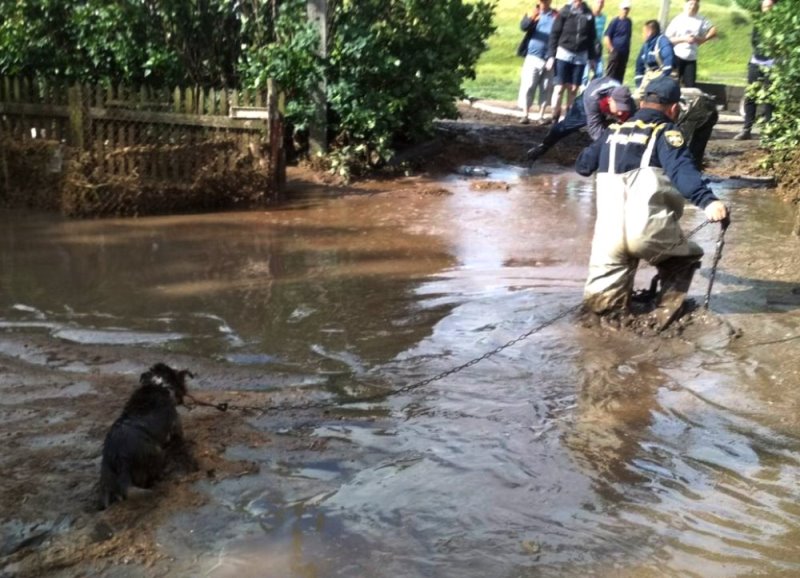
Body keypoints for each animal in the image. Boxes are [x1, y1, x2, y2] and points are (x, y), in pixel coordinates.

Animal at [98, 362, 194, 506]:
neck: (158, 383)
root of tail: (121, 460)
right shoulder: (176, 425)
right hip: (156, 452)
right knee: (155, 475)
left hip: (108, 481)